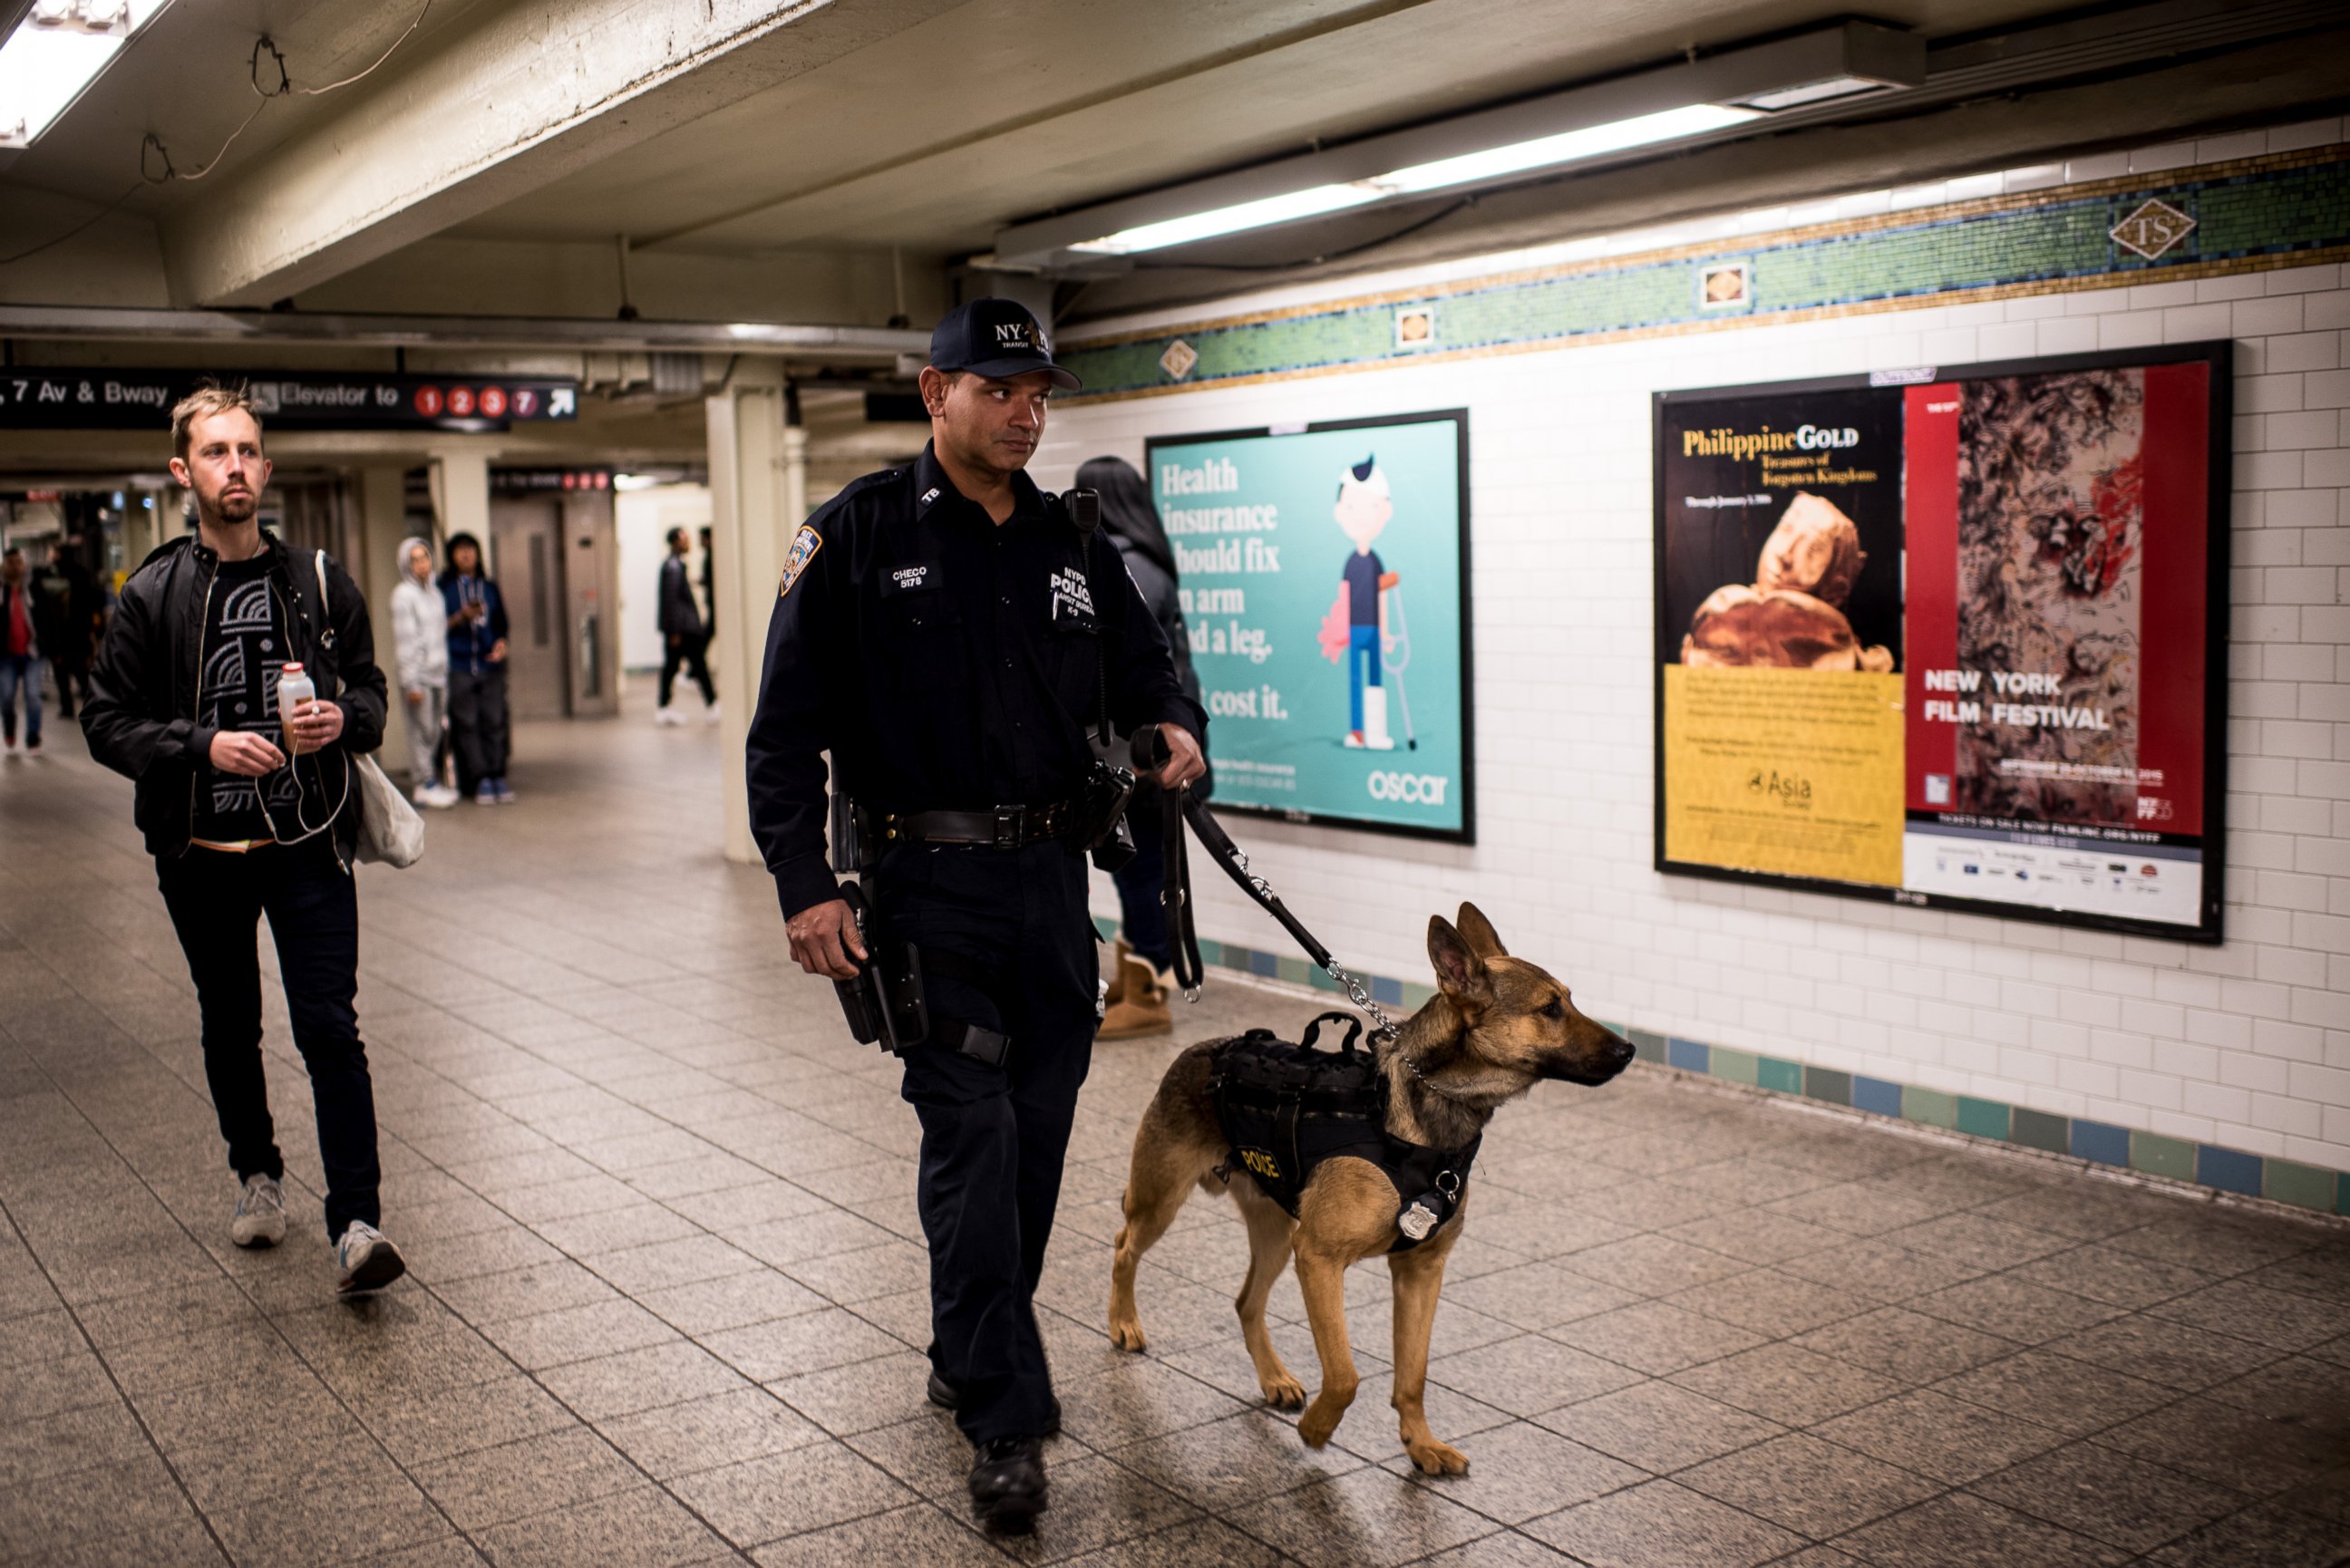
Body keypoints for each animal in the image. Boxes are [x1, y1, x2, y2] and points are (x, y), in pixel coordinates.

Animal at [1104, 902, 1636, 1476]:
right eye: (1550, 1008)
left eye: (1569, 1000)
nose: (1629, 1049)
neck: (1421, 1116)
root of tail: (1206, 1050)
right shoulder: (1319, 1259)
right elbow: (1345, 1375)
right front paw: (1318, 1428)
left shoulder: (1420, 1271)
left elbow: (1413, 1376)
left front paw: (1420, 1444)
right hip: (1164, 1202)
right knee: (1124, 1246)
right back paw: (1123, 1323)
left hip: (1276, 1236)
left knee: (1246, 1302)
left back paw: (1273, 1377)